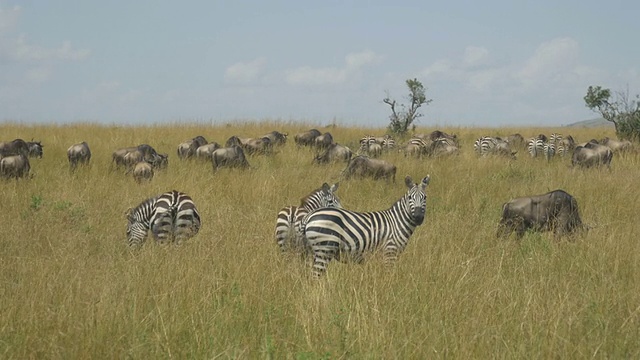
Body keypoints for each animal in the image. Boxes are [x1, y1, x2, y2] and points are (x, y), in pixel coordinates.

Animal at [302, 176, 430, 278]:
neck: (397, 222)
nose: (418, 217)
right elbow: (388, 275)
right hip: (324, 250)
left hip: (315, 251)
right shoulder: (390, 251)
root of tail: (309, 216)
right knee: (315, 277)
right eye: (410, 197)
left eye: (425, 197)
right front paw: (389, 288)